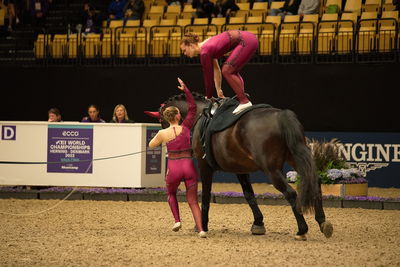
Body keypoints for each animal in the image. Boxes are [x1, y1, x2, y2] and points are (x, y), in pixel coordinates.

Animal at [145, 92, 332, 241]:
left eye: (161, 121)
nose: (165, 144)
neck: (199, 114)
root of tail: (281, 115)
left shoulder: (205, 166)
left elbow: (205, 196)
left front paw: (202, 226)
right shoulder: (240, 169)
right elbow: (249, 194)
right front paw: (258, 224)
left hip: (271, 169)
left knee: (291, 193)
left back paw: (302, 230)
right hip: (296, 158)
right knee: (315, 183)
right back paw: (323, 222)